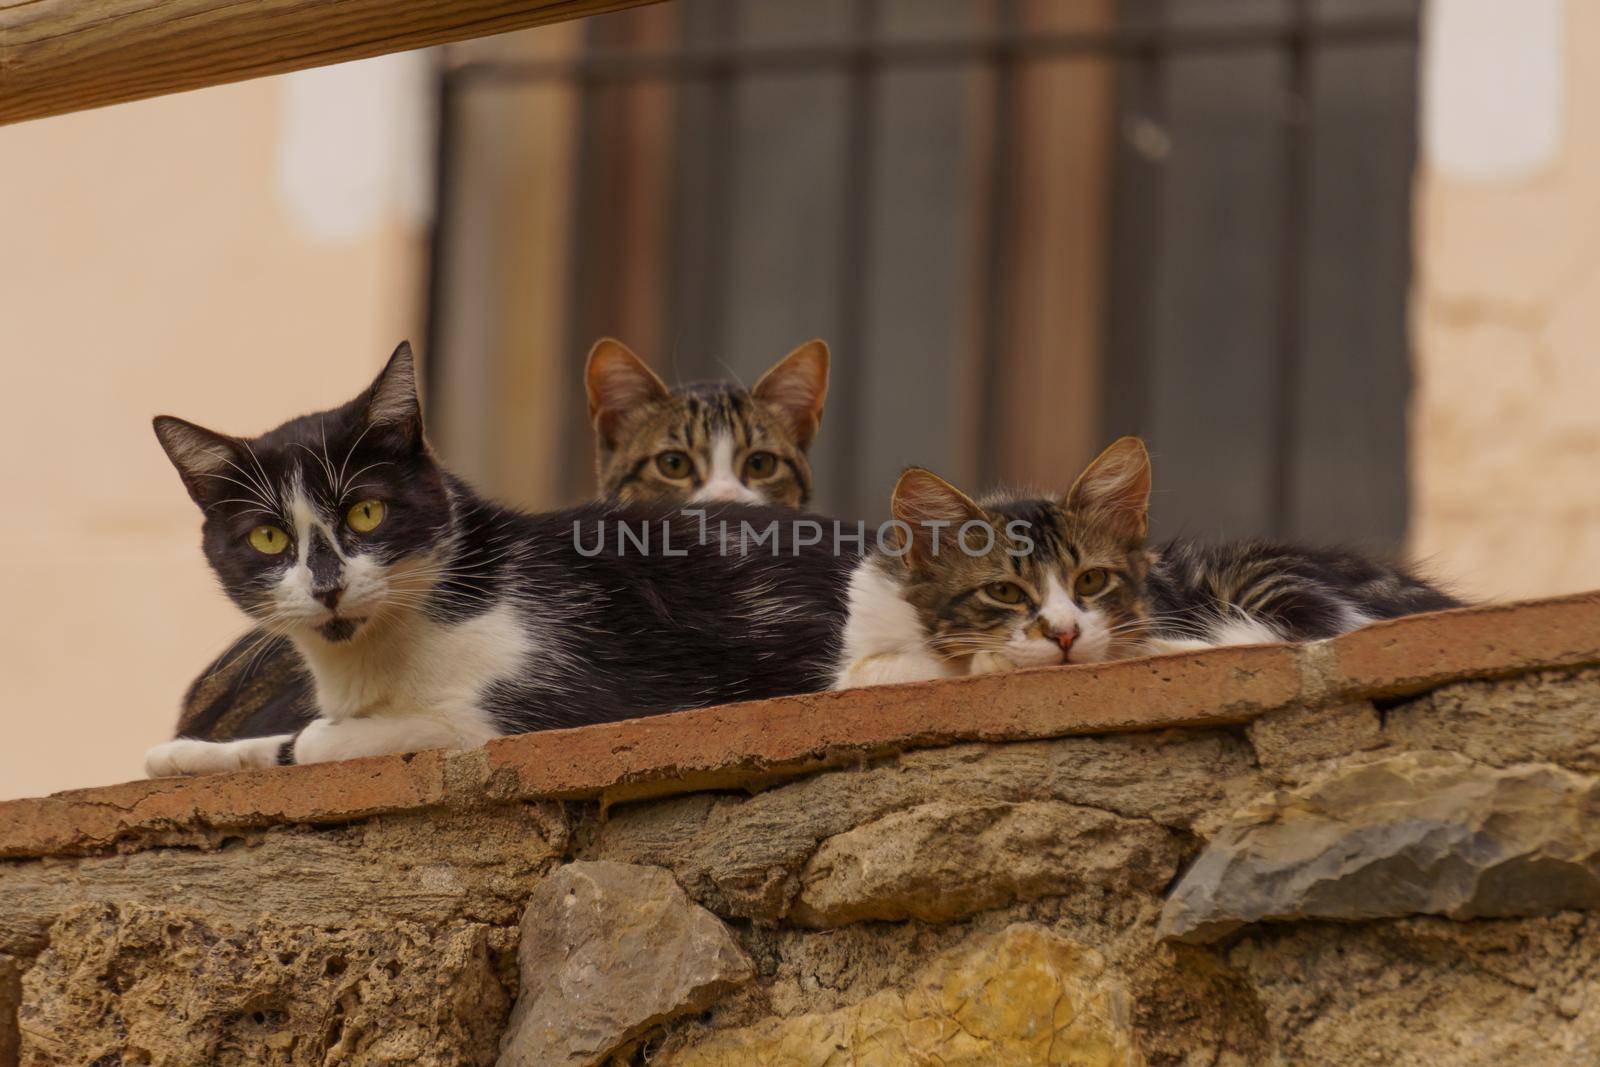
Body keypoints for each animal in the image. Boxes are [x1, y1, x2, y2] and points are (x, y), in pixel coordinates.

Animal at [144, 343, 857, 777]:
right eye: (269, 539)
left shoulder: (578, 694)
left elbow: (334, 737)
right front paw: (185, 754)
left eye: (366, 514)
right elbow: (281, 742)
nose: (327, 585)